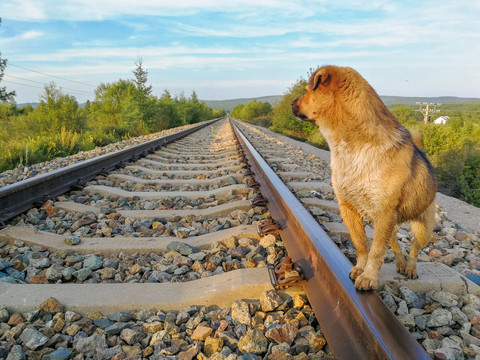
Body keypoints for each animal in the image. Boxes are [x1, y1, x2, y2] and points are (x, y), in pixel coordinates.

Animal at [290, 64, 436, 290]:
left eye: (307, 91)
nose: (291, 103)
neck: (351, 148)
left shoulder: (384, 213)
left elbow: (376, 251)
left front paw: (369, 277)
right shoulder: (349, 208)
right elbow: (361, 244)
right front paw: (360, 268)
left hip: (423, 228)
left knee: (414, 248)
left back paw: (410, 268)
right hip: (392, 225)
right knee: (395, 245)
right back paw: (400, 264)